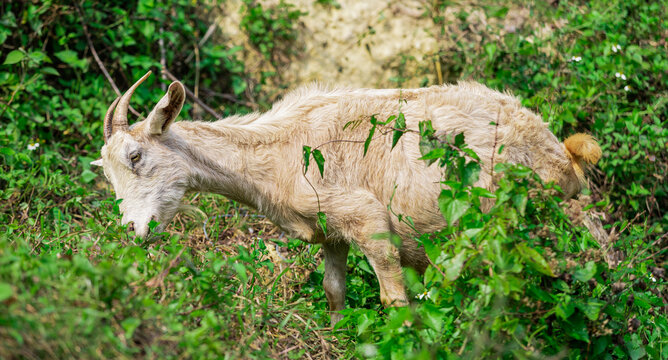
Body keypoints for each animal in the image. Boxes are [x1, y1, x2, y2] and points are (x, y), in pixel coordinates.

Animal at [92, 70, 600, 324]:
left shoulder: (370, 223)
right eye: (108, 173)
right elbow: (334, 292)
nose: (132, 229)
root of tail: (566, 156)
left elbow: (395, 303)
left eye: (136, 155)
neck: (279, 151)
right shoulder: (332, 232)